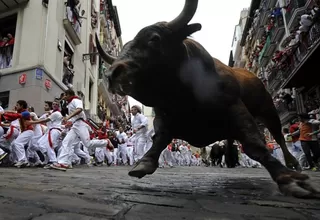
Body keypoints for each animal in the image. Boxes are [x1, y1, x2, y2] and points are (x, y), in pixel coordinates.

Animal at [96, 0, 318, 199]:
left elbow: (255, 145)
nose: (112, 73)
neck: (183, 94)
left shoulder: (236, 109)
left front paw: (291, 180)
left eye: (154, 38)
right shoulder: (163, 117)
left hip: (269, 111)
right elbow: (159, 140)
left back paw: (292, 163)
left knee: (278, 137)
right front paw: (144, 162)